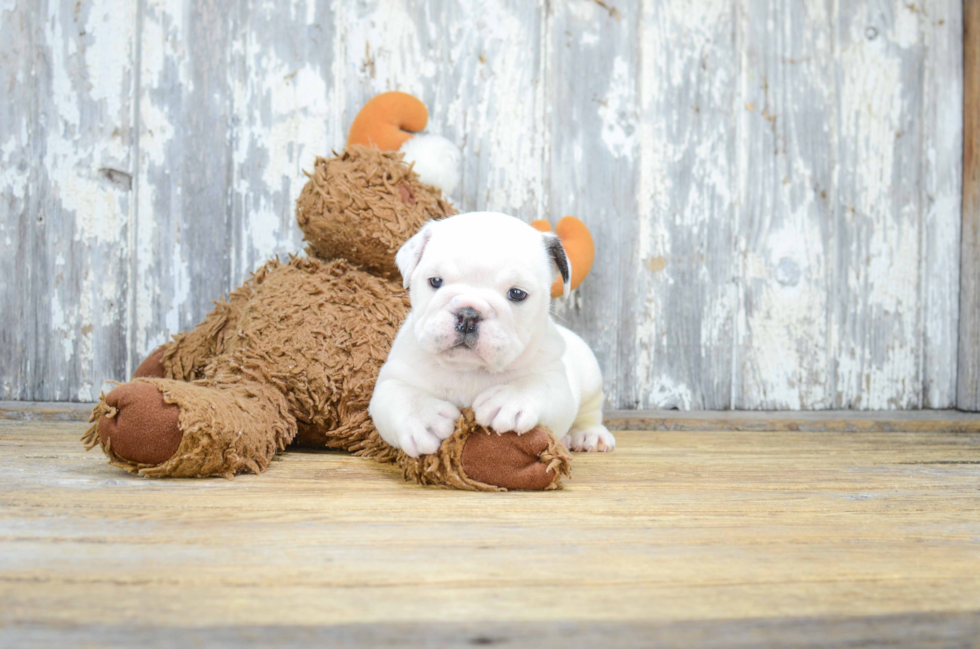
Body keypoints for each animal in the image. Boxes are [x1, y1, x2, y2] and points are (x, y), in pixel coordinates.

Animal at [372, 211, 616, 456]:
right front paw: (423, 418)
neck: (469, 369)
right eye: (436, 281)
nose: (468, 315)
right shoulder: (393, 379)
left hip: (591, 376)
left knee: (590, 411)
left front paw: (511, 400)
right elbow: (402, 395)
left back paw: (589, 435)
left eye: (517, 293)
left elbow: (537, 384)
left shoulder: (555, 380)